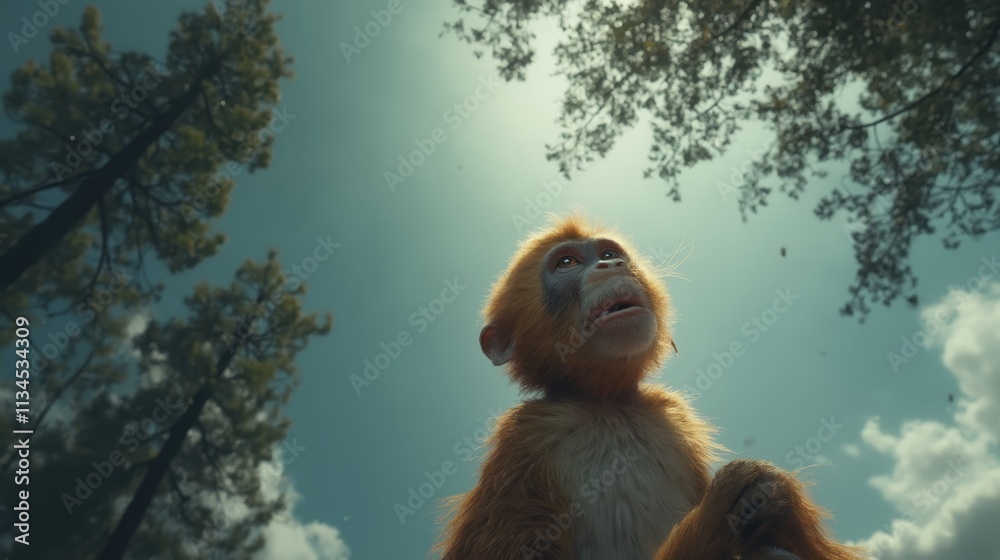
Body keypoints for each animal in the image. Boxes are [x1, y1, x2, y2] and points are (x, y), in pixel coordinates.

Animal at [438, 215, 868, 560]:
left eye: (608, 252)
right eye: (567, 263)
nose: (612, 264)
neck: (607, 405)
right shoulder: (525, 442)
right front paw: (725, 513)